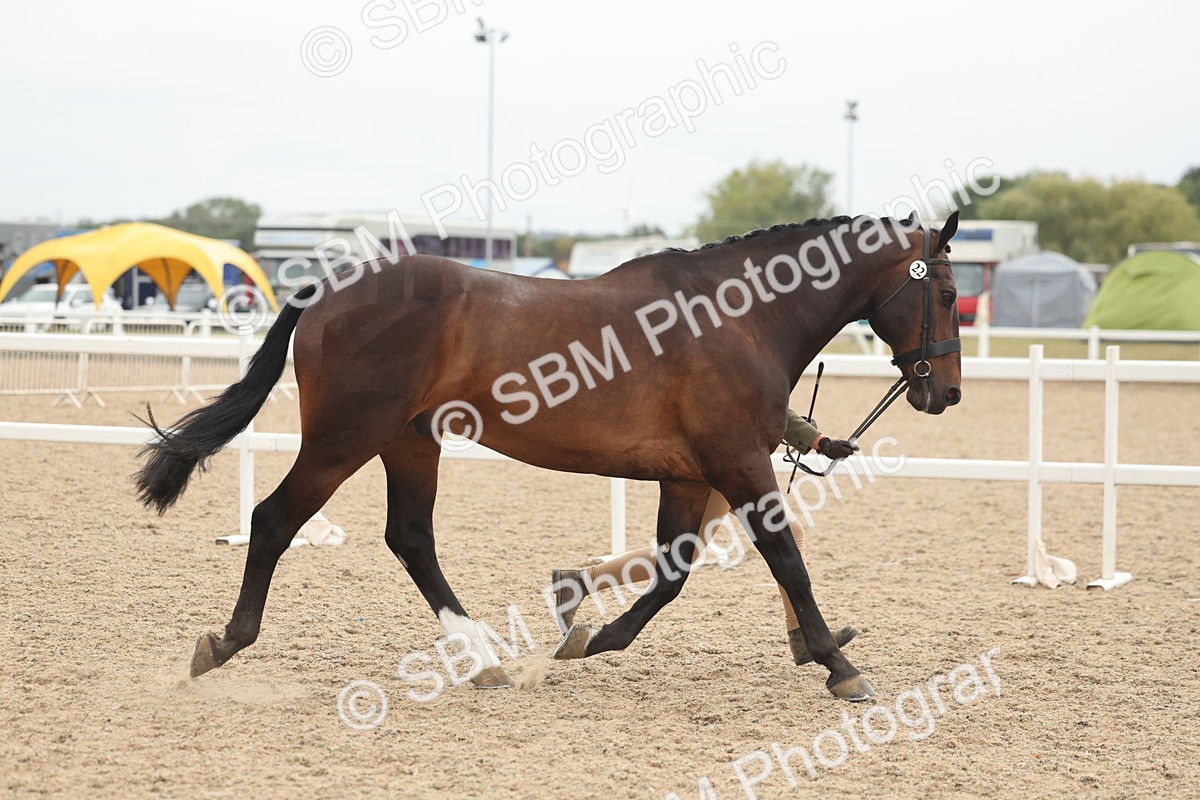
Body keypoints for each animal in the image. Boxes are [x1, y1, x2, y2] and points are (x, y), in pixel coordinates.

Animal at [135, 210, 962, 702]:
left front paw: (592, 632)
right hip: (347, 439)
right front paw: (839, 666)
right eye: (950, 292)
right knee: (276, 520)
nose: (946, 391)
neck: (739, 319)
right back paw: (225, 643)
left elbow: (673, 573)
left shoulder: (691, 476)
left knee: (410, 538)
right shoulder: (737, 467)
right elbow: (784, 560)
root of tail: (330, 290)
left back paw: (483, 659)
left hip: (410, 441)